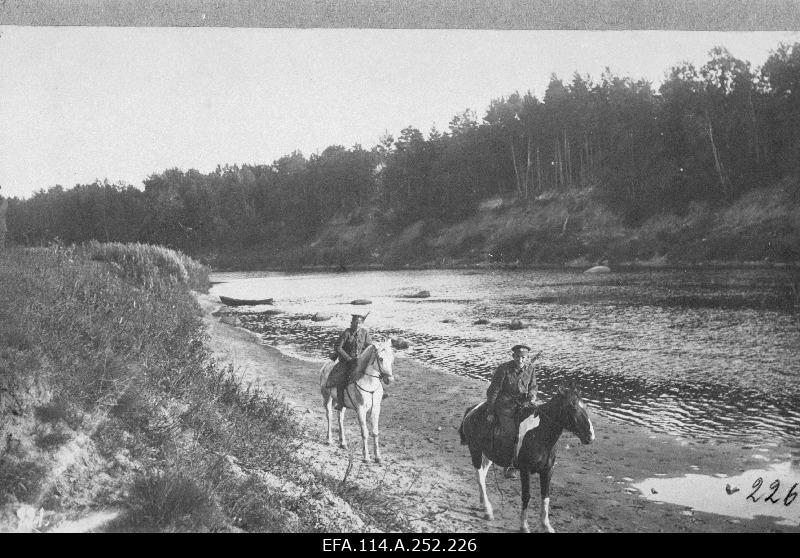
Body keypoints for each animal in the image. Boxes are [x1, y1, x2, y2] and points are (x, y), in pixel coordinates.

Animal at [460, 384, 596, 532]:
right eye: (572, 407)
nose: (590, 436)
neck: (540, 433)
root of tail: (472, 409)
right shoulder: (525, 470)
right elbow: (526, 496)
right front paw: (524, 525)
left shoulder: (548, 471)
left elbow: (545, 497)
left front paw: (546, 525)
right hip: (475, 451)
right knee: (479, 477)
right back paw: (487, 510)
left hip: (488, 456)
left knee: (483, 477)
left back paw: (483, 504)